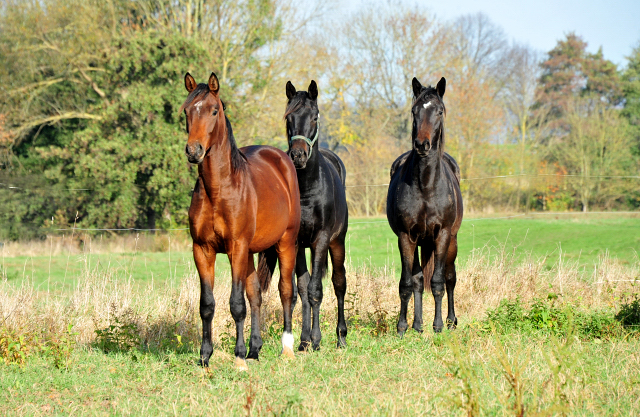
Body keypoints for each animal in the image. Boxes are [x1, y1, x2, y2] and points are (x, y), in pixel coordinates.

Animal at [180, 73, 300, 368]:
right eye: (186, 111)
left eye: (214, 110)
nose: (194, 151)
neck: (219, 189)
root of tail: (281, 158)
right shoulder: (202, 250)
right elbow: (207, 304)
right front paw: (205, 357)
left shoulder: (236, 247)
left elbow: (236, 304)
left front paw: (238, 358)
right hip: (250, 253)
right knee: (255, 294)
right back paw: (255, 349)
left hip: (285, 243)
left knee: (286, 291)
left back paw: (287, 348)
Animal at [384, 76, 460, 334]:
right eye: (414, 111)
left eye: (440, 111)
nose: (422, 145)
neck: (426, 185)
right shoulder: (406, 237)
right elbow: (407, 282)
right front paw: (402, 326)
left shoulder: (442, 235)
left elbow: (437, 281)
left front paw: (437, 325)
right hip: (419, 241)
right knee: (417, 279)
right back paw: (417, 325)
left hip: (452, 241)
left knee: (450, 277)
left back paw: (451, 321)